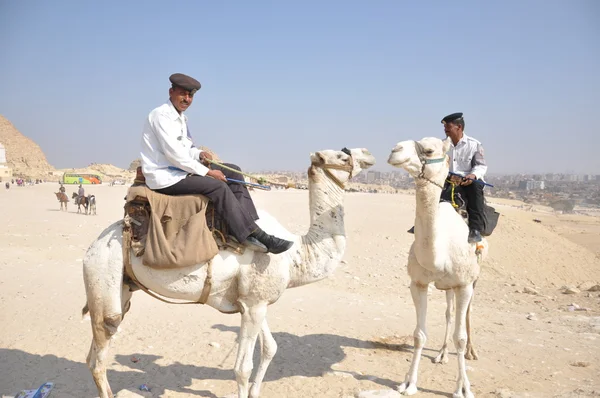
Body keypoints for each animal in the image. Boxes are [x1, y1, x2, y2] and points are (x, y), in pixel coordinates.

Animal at [81, 147, 376, 398]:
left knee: (93, 354)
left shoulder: (254, 301)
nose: (368, 153)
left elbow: (270, 348)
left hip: (123, 286)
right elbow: (242, 368)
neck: (295, 254)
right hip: (103, 269)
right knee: (102, 347)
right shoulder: (255, 303)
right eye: (342, 155)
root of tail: (94, 245)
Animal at [386, 138, 490, 398]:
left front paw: (463, 388)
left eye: (429, 150)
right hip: (448, 286)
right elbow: (419, 335)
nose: (395, 150)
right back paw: (442, 354)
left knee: (467, 315)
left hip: (473, 278)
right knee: (449, 314)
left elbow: (460, 338)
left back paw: (471, 352)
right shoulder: (418, 283)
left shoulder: (464, 284)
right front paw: (408, 383)